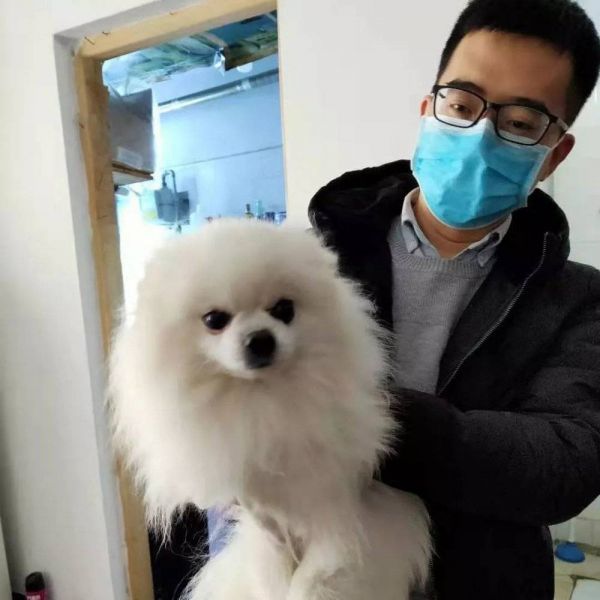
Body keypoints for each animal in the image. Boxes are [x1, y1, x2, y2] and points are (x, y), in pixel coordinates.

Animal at [109, 219, 431, 600]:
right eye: (214, 319)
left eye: (284, 309)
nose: (260, 339)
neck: (262, 400)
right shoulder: (261, 511)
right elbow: (273, 557)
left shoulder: (343, 508)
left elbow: (316, 575)